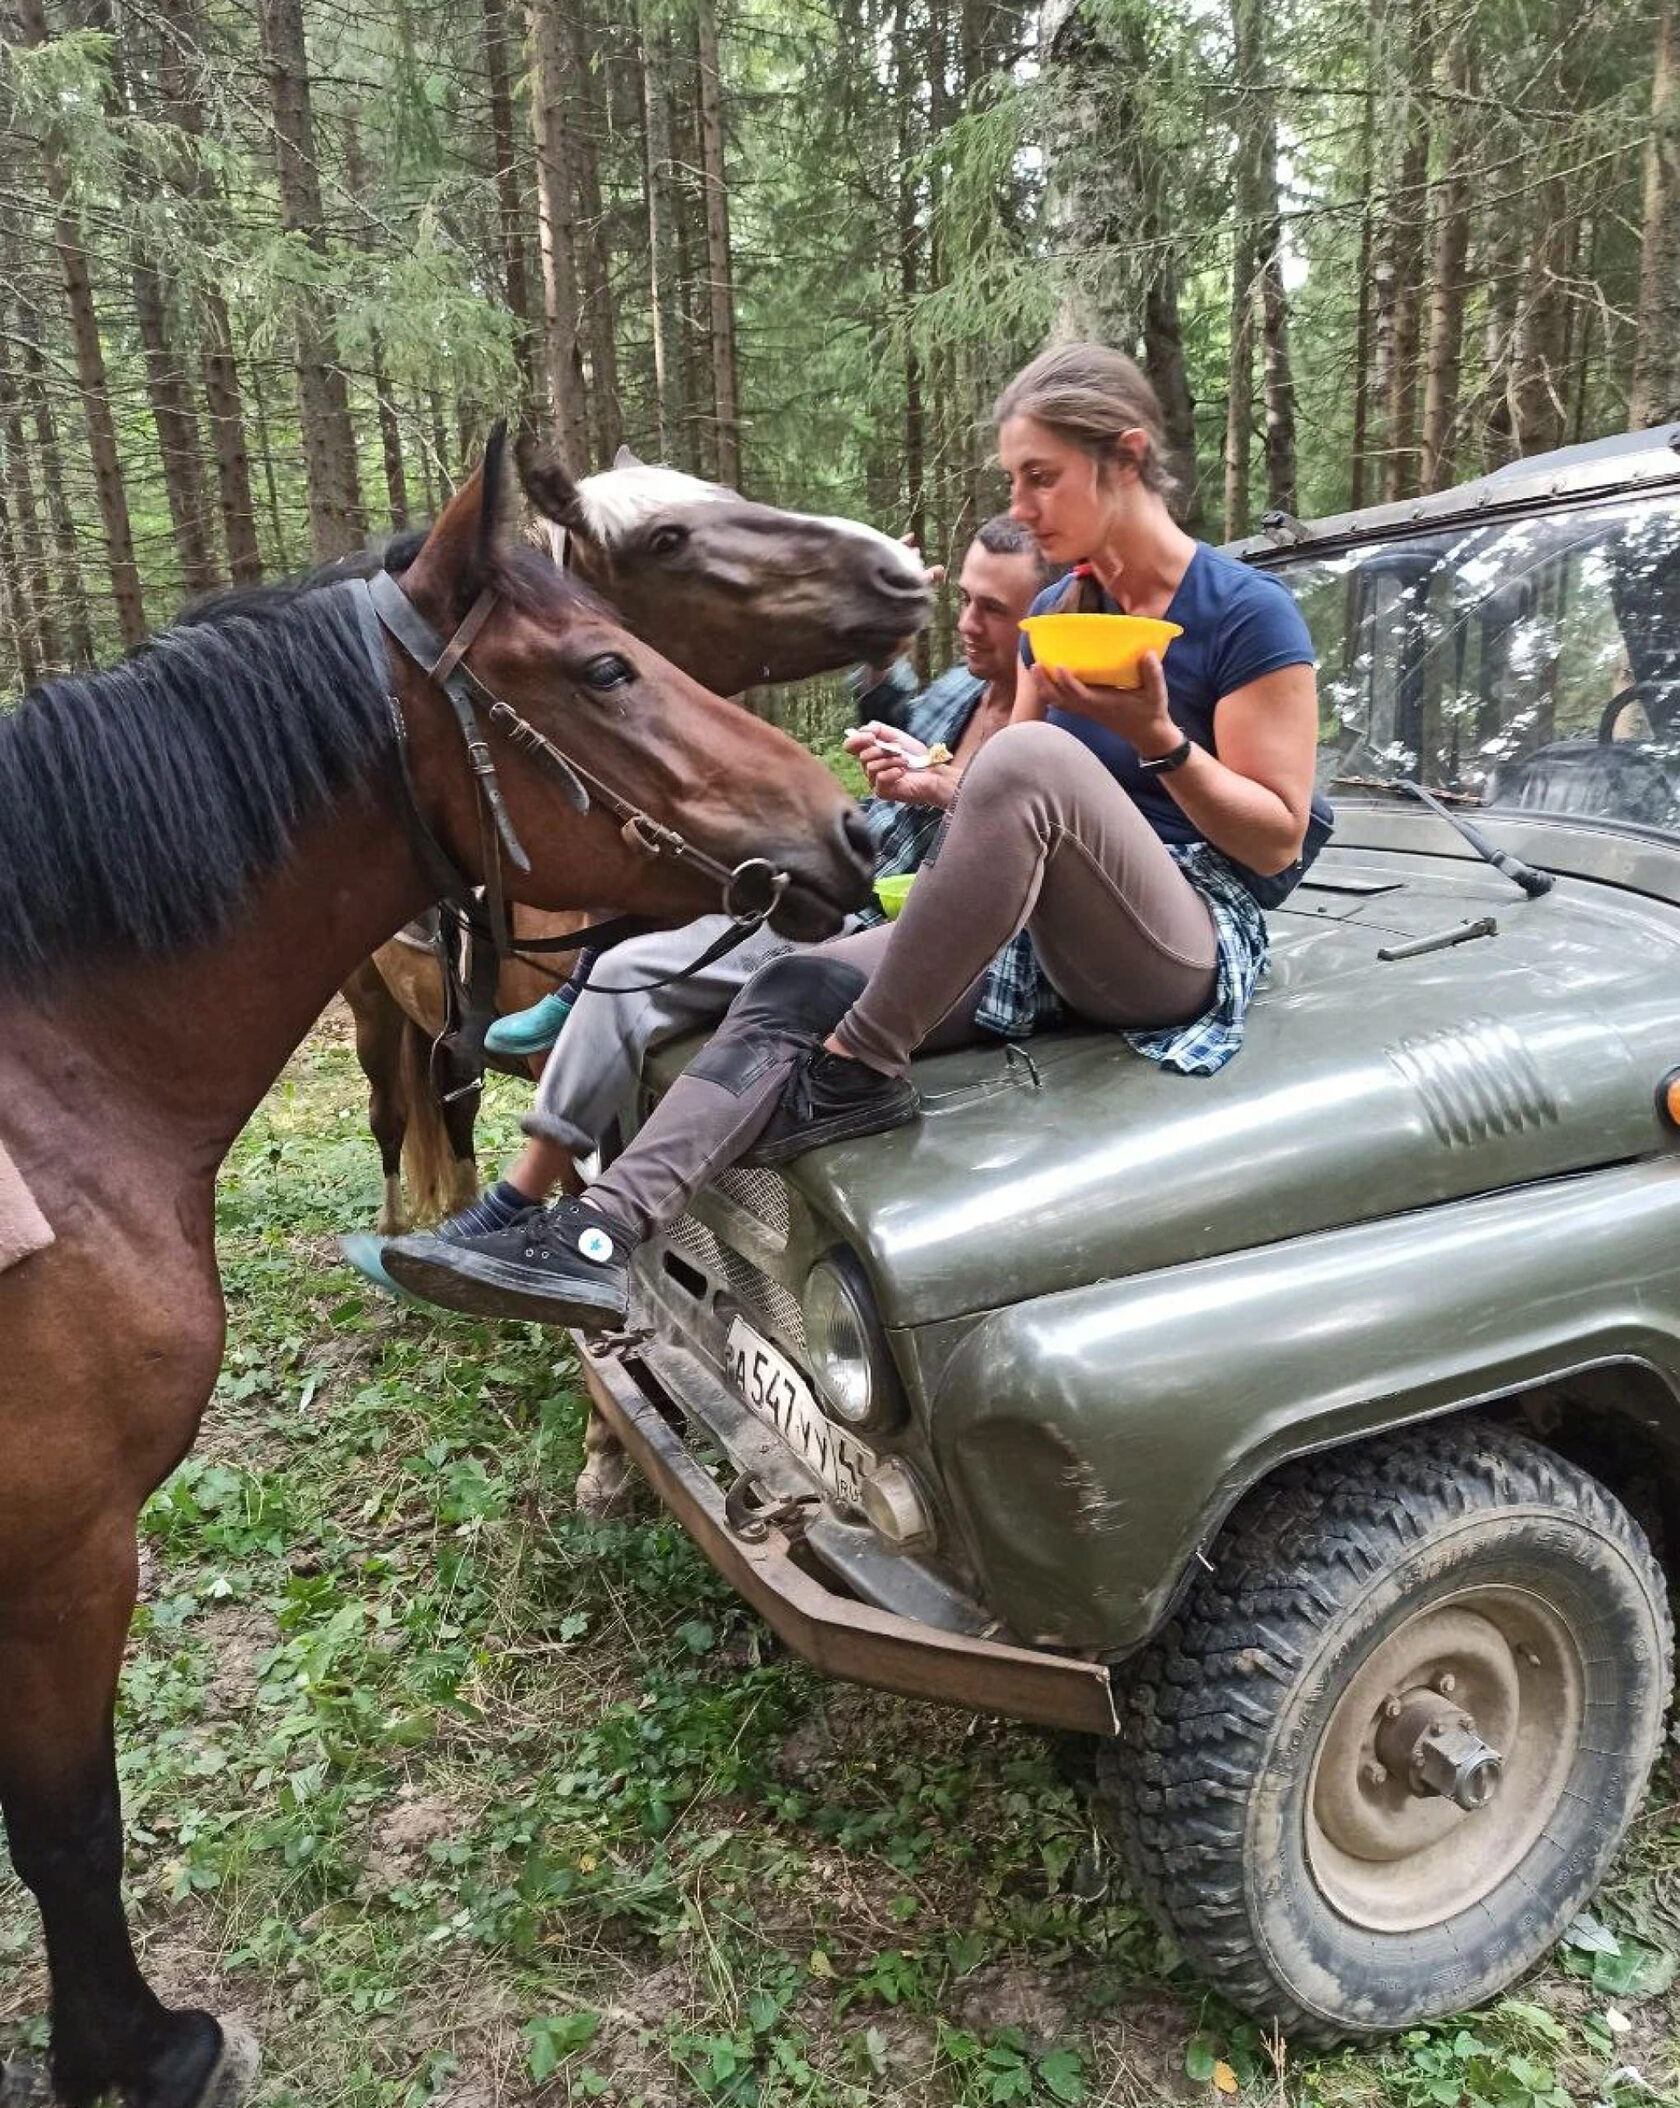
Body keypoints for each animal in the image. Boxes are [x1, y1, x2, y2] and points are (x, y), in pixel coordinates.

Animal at [0, 427, 864, 2108]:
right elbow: (69, 1829)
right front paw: (143, 2052)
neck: (53, 1095)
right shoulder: (65, 1548)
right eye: (609, 663)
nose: (852, 827)